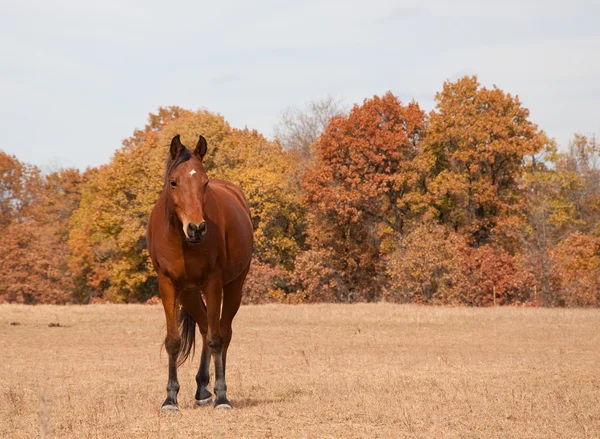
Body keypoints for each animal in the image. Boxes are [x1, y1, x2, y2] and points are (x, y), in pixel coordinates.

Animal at [148, 135, 255, 412]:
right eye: (174, 182)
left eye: (204, 182)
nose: (196, 228)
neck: (181, 240)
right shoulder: (168, 285)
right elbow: (173, 341)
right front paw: (170, 398)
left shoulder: (213, 283)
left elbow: (217, 339)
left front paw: (222, 397)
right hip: (189, 294)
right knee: (206, 327)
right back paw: (202, 388)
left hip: (233, 287)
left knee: (223, 333)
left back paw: (216, 388)